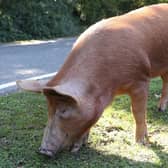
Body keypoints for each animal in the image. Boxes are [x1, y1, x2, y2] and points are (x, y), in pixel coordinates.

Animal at [16, 3, 168, 157]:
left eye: (64, 110)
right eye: (49, 109)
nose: (43, 151)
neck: (110, 87)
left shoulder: (141, 79)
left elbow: (137, 111)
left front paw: (141, 143)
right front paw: (80, 145)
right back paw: (160, 109)